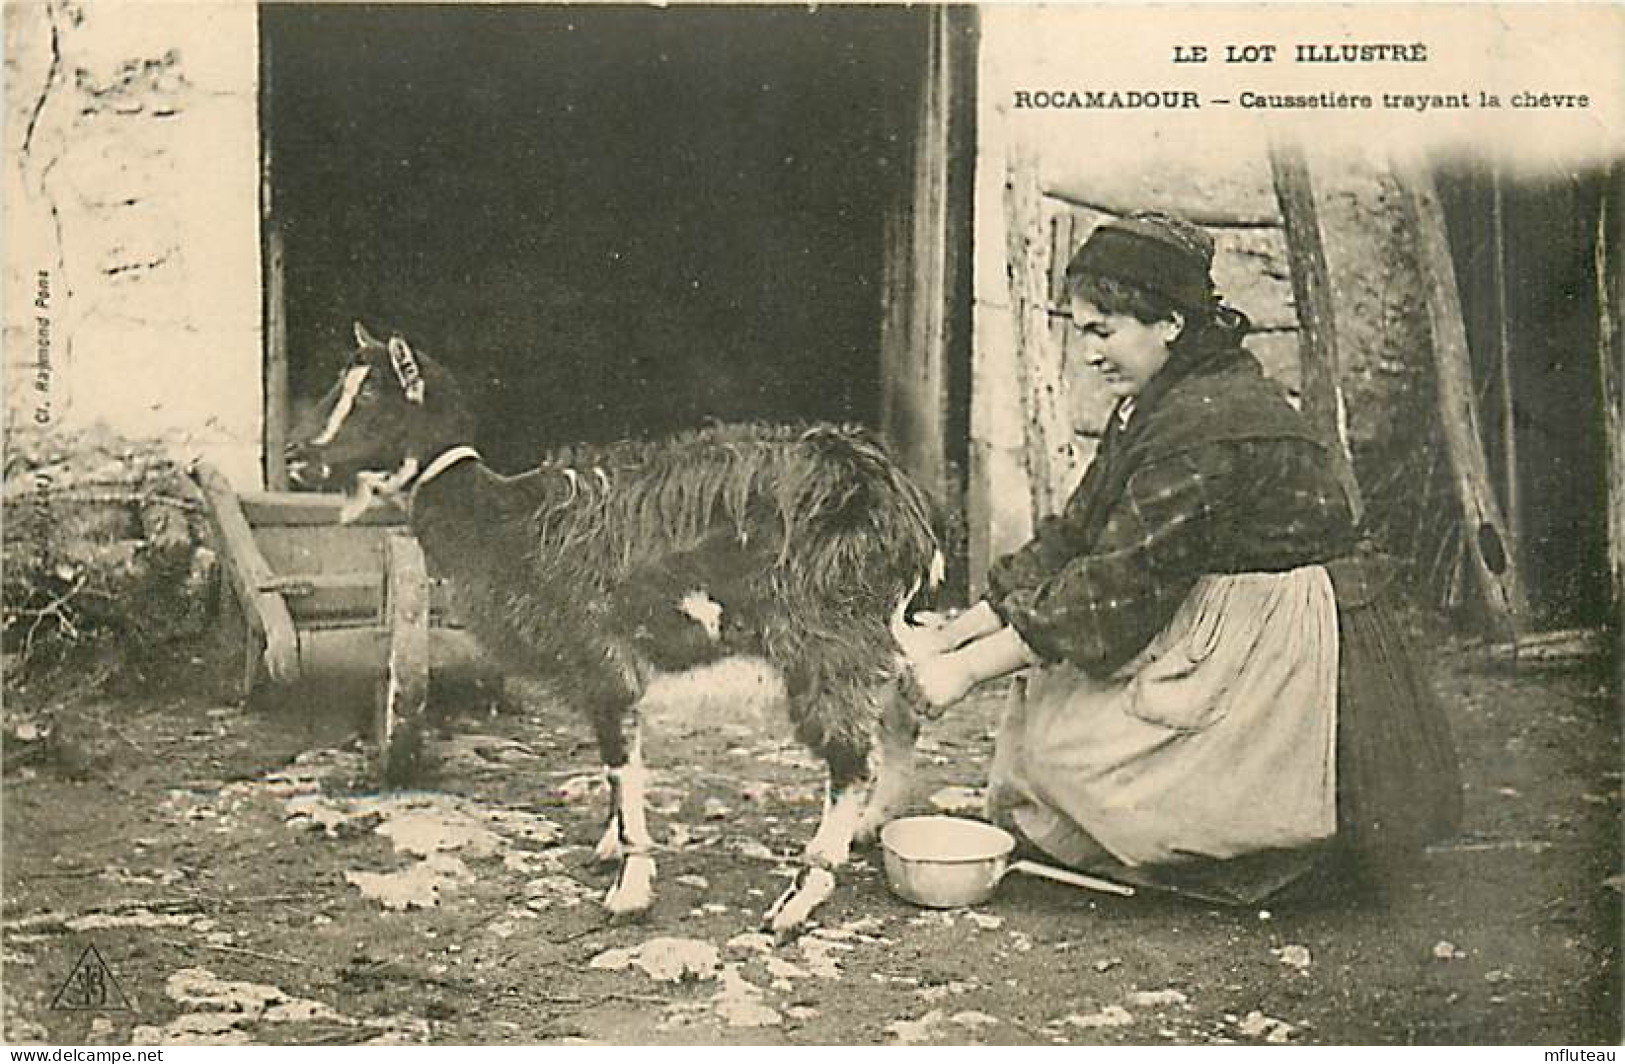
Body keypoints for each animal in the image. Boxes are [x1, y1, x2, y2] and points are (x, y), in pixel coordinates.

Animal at [286, 323, 936, 935]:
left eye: (371, 396)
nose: (296, 454)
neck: (510, 523)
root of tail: (897, 506)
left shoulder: (602, 657)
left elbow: (620, 764)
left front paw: (630, 887)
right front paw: (610, 848)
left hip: (824, 640)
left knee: (851, 760)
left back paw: (799, 897)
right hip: (875, 638)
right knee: (903, 713)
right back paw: (870, 826)